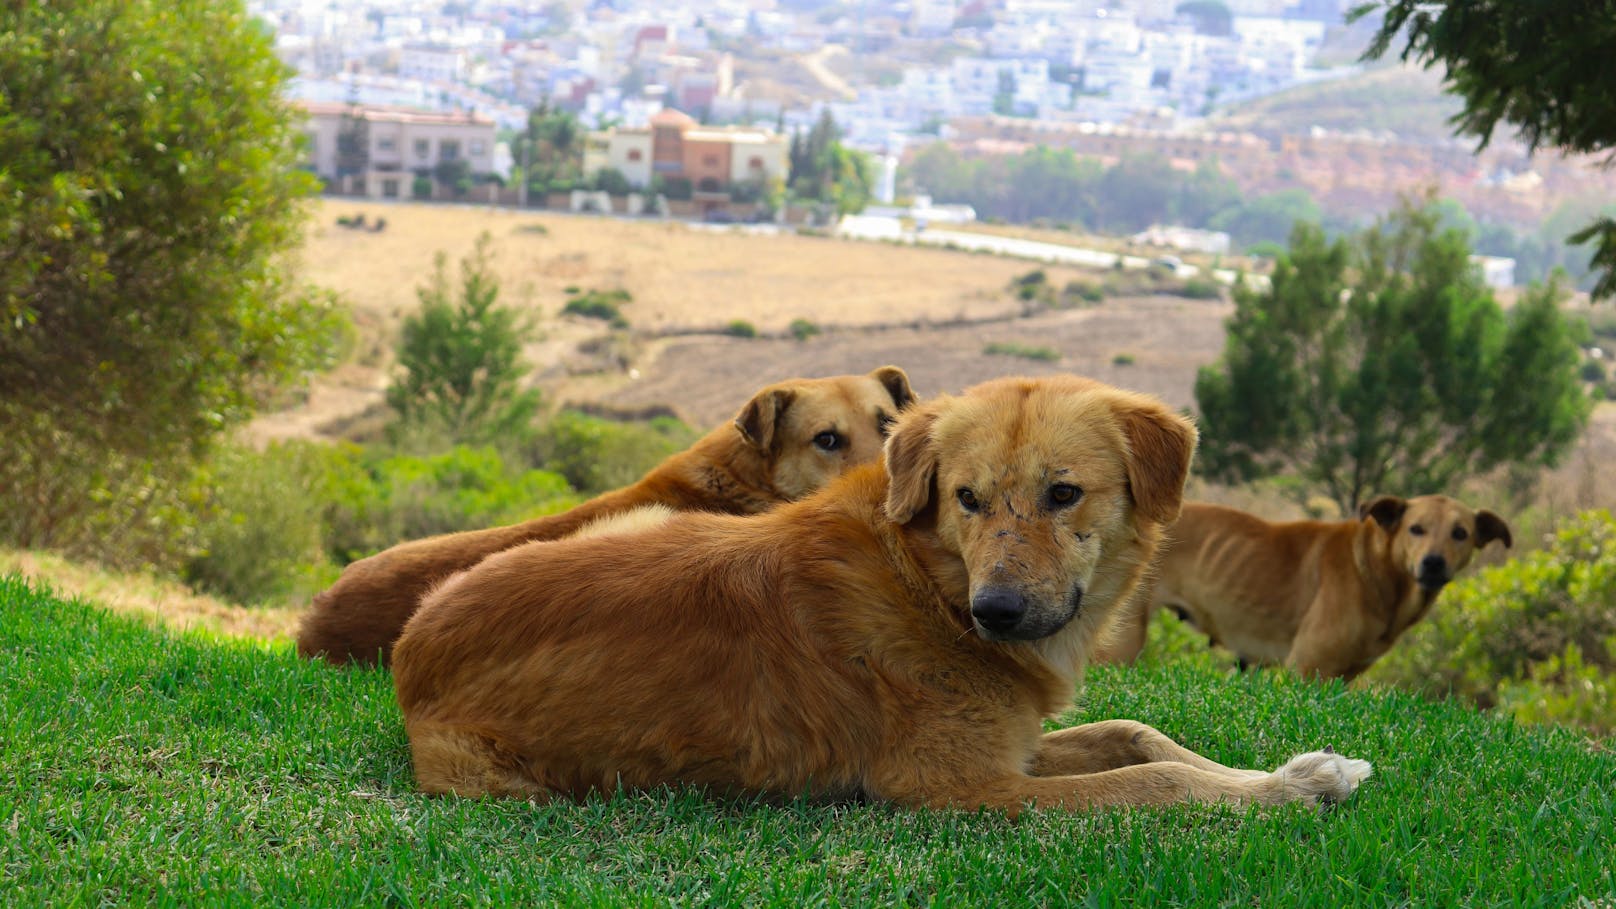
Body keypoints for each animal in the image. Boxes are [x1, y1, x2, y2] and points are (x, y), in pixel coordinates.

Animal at [391, 372, 1363, 808]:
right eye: (967, 497)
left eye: (1063, 493)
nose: (997, 614)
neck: (926, 576)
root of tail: (408, 651)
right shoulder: (963, 788)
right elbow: (1155, 779)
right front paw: (1278, 796)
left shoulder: (1009, 747)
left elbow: (1136, 732)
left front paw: (1307, 768)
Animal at [1098, 491, 1512, 676]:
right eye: (1416, 528)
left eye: (1460, 533)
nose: (1433, 563)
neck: (1374, 572)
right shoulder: (1306, 668)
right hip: (1121, 644)